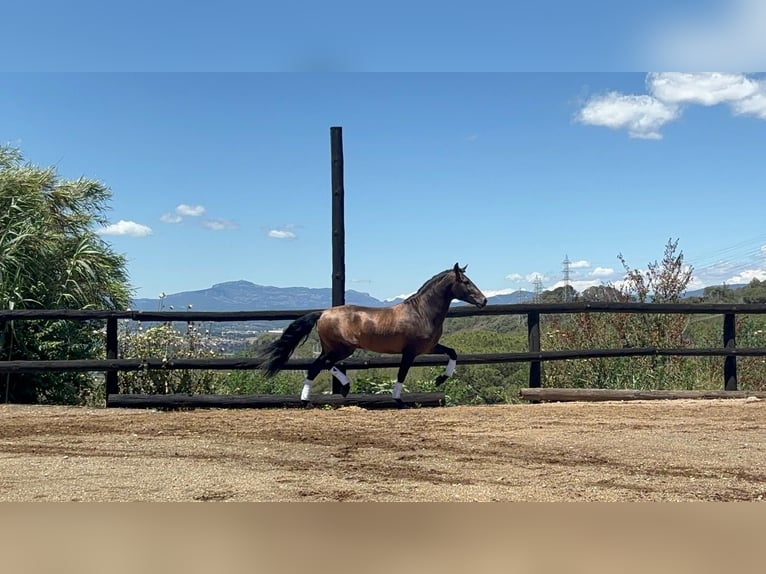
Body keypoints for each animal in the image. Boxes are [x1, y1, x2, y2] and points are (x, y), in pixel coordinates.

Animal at [256, 266, 486, 404]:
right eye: (465, 282)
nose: (483, 300)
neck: (421, 312)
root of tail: (323, 313)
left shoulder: (428, 348)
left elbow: (453, 353)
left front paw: (440, 380)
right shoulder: (410, 352)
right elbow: (401, 374)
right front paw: (397, 400)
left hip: (333, 348)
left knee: (322, 364)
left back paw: (342, 388)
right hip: (342, 348)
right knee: (318, 365)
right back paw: (308, 399)